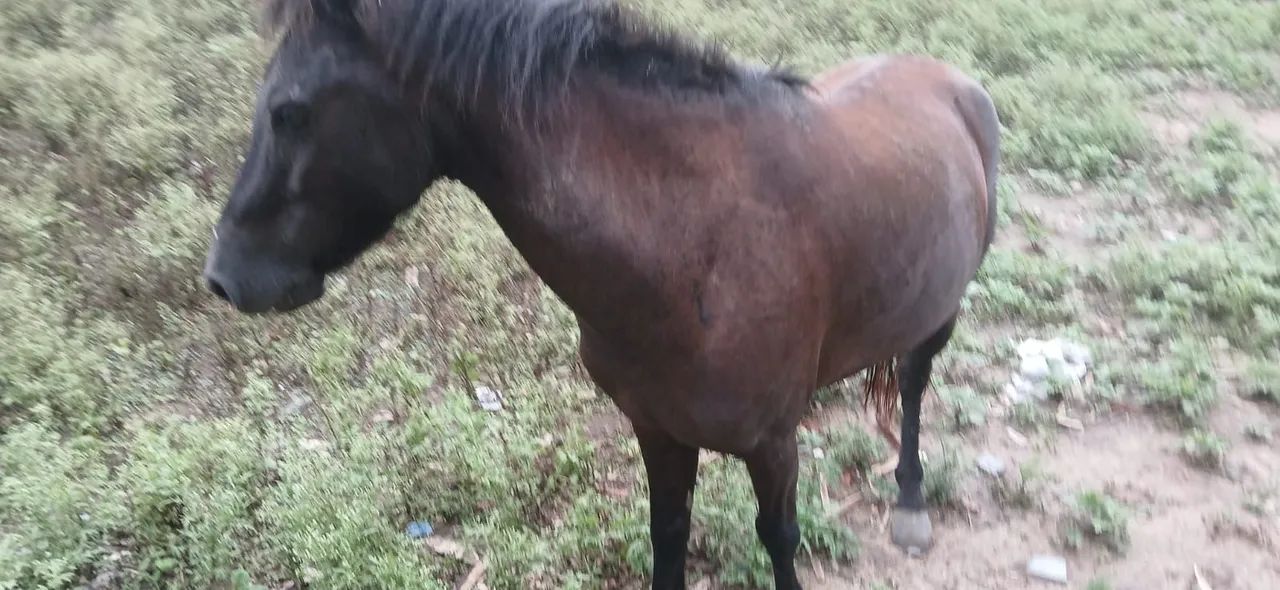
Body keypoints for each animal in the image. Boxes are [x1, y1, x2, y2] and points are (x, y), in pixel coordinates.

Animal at [201, 1, 1000, 588]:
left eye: (290, 112)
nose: (225, 276)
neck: (692, 242)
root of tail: (953, 81)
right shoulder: (657, 428)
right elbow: (668, 536)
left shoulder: (773, 442)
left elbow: (778, 538)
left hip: (943, 310)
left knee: (916, 383)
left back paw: (910, 501)